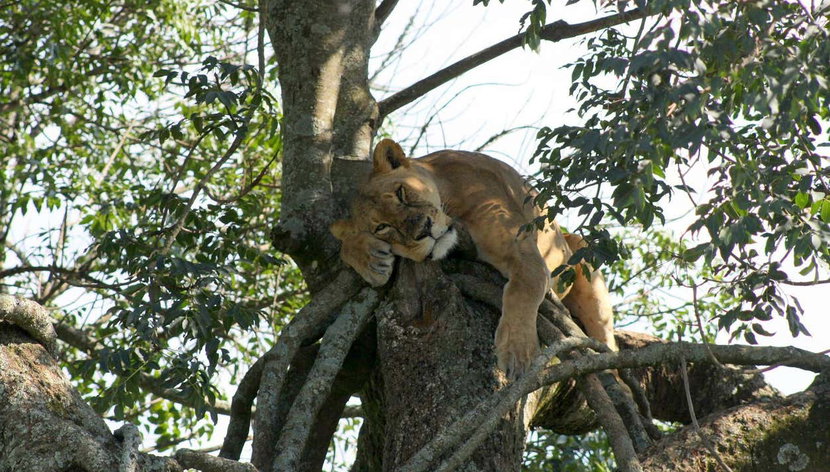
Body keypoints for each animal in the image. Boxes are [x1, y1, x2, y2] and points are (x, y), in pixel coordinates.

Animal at [330, 138, 616, 377]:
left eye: (401, 193)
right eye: (382, 227)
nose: (424, 229)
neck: (447, 193)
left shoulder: (523, 252)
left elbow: (522, 291)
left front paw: (517, 351)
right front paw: (368, 257)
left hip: (583, 255)